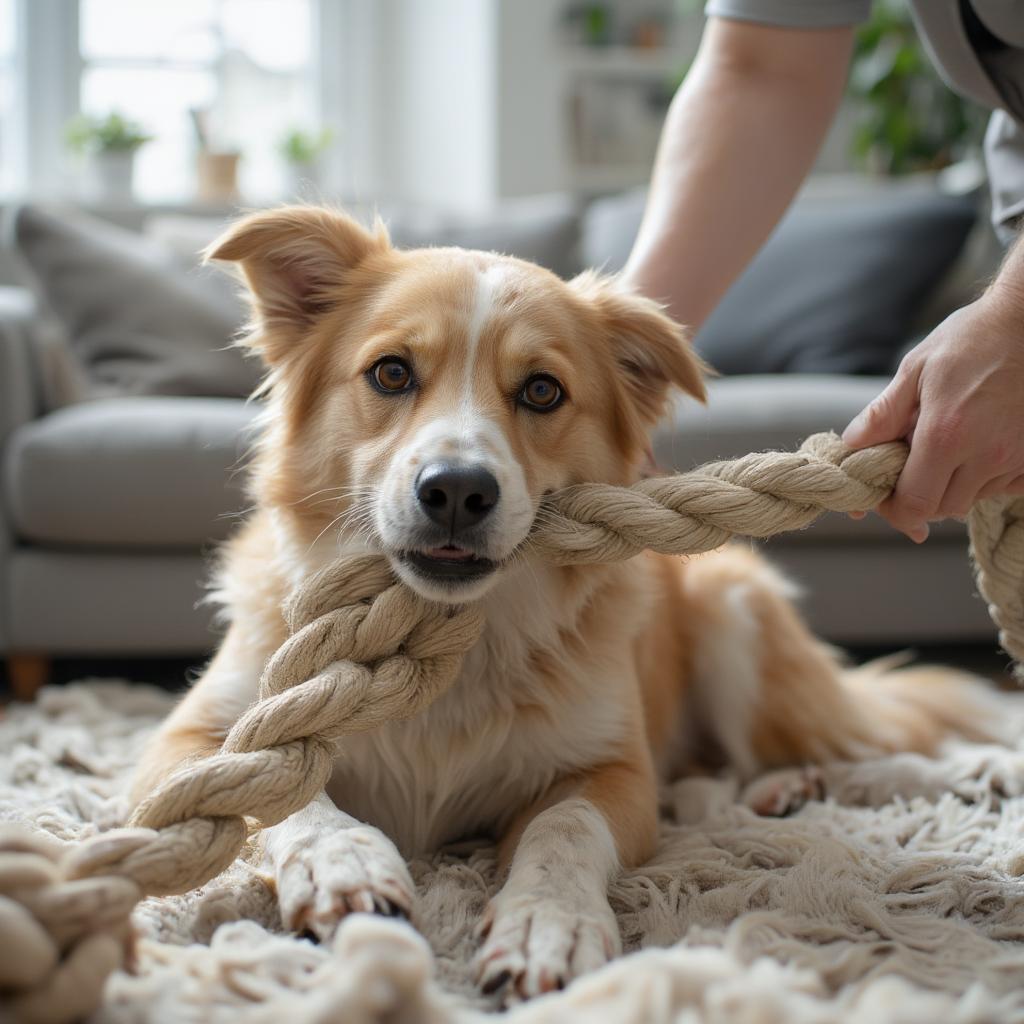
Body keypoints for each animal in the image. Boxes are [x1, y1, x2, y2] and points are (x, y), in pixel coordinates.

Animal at [130, 203, 999, 1003]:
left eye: (542, 391)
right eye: (391, 373)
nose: (456, 491)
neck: (452, 641)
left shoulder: (611, 768)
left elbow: (562, 828)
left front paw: (548, 922)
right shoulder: (189, 742)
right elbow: (279, 792)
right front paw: (342, 860)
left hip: (737, 624)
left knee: (865, 737)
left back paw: (958, 771)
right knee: (717, 775)